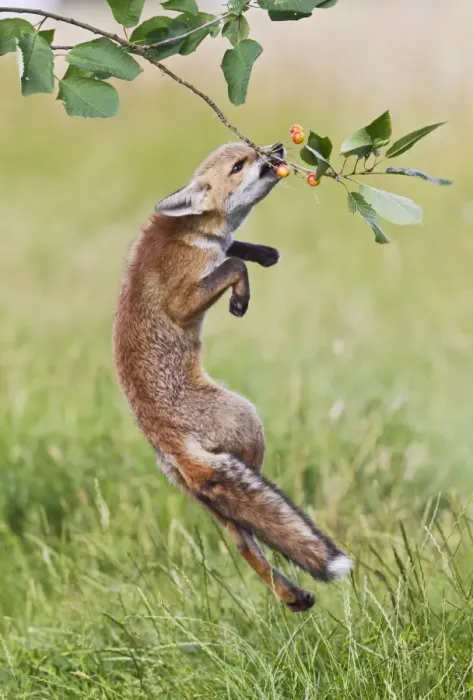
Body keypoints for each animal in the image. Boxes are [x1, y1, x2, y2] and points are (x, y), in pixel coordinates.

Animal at [113, 141, 352, 612]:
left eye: (251, 151)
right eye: (239, 165)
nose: (276, 148)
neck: (192, 231)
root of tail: (169, 439)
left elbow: (237, 250)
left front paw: (262, 253)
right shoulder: (181, 301)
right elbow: (232, 264)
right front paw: (240, 295)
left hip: (203, 495)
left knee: (243, 541)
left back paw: (293, 594)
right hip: (250, 426)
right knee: (254, 517)